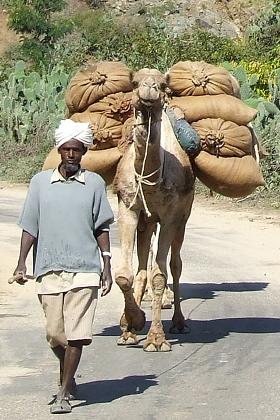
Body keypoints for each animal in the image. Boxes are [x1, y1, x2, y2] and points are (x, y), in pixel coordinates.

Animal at [113, 68, 195, 352]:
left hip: (183, 218)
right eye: (134, 82)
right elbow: (124, 275)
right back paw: (129, 327)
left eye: (162, 85)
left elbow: (160, 274)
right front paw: (132, 323)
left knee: (175, 263)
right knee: (141, 268)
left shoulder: (170, 216)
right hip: (147, 223)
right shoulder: (128, 208)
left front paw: (156, 339)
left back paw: (179, 323)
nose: (149, 89)